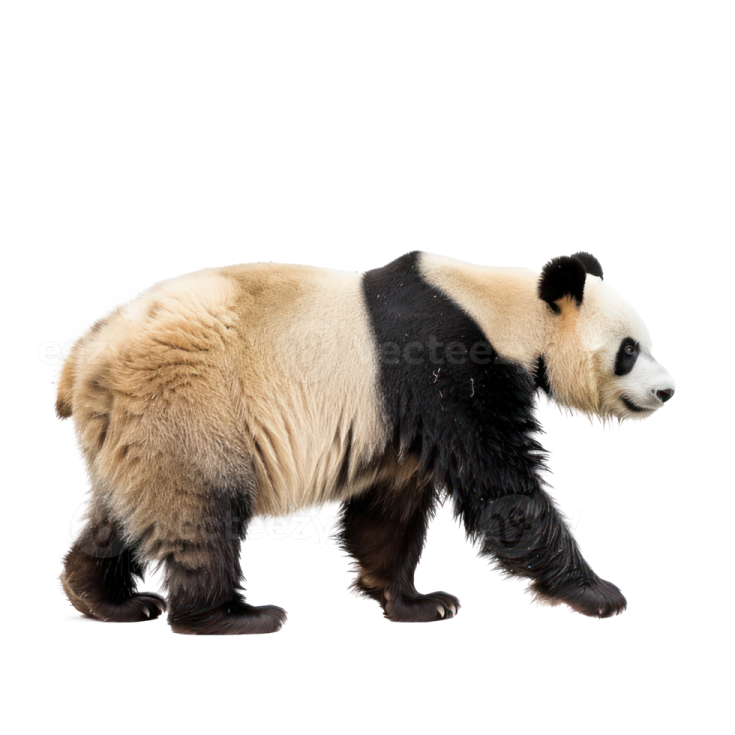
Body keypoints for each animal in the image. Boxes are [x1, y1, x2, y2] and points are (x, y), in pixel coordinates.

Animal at [54, 250, 675, 634]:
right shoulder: (443, 355)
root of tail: (83, 354)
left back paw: (105, 598)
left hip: (131, 423)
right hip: (190, 400)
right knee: (200, 507)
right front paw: (597, 592)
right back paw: (229, 616)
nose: (666, 390)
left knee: (129, 506)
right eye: (629, 350)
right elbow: (502, 488)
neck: (501, 307)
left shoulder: (398, 408)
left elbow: (392, 502)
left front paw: (414, 602)